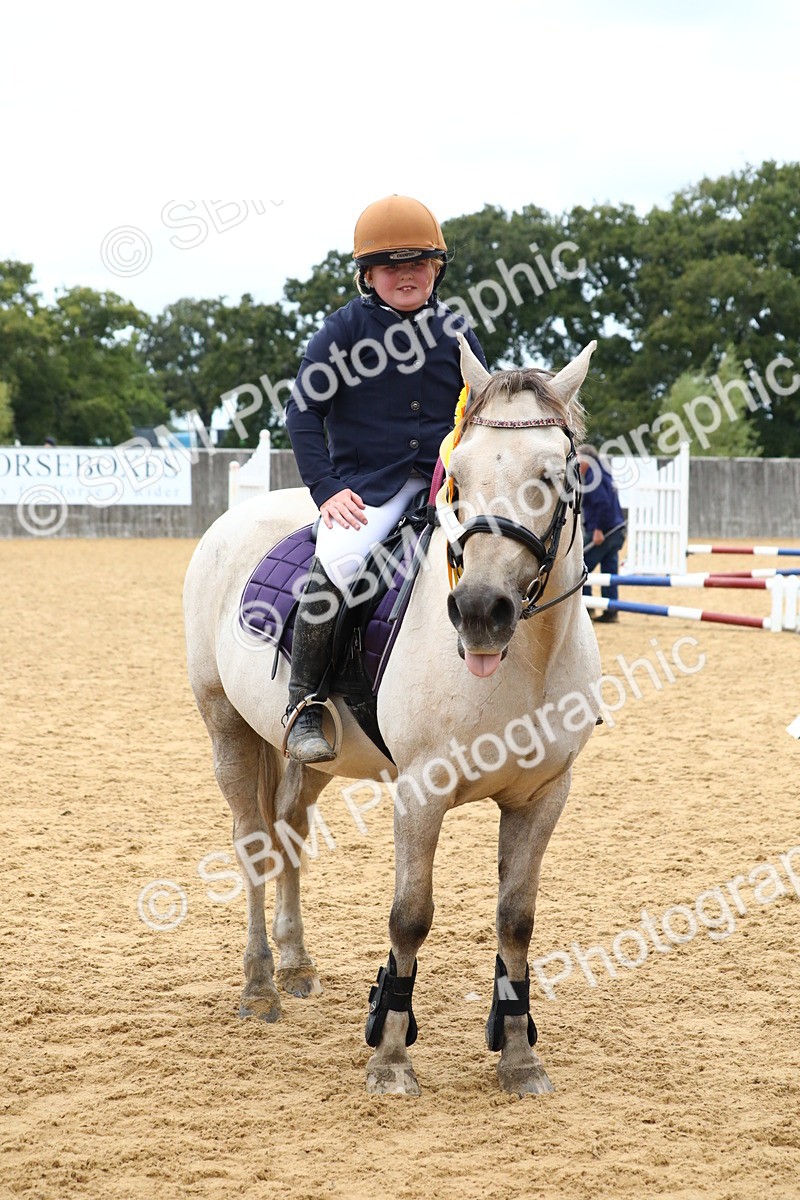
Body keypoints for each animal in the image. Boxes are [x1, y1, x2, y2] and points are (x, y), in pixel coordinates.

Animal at [183, 337, 602, 1097]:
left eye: (555, 476)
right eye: (456, 478)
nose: (480, 612)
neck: (521, 661)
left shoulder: (543, 795)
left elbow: (517, 920)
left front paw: (519, 1057)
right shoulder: (421, 791)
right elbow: (410, 917)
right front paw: (390, 1056)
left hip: (314, 755)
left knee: (289, 831)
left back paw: (296, 965)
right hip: (226, 727)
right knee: (254, 843)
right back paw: (260, 987)